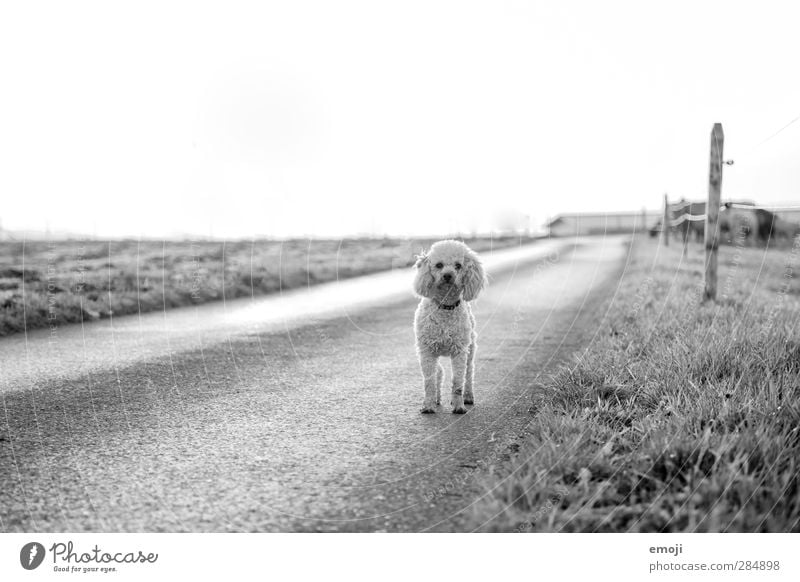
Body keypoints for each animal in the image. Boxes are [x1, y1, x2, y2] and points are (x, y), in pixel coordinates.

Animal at [412, 241, 488, 416]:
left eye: (458, 265)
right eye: (439, 265)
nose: (448, 275)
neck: (445, 306)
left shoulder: (459, 351)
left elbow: (458, 381)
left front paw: (459, 406)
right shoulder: (427, 351)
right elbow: (429, 381)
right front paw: (428, 405)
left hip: (470, 349)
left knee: (469, 373)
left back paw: (468, 396)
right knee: (439, 372)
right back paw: (437, 398)